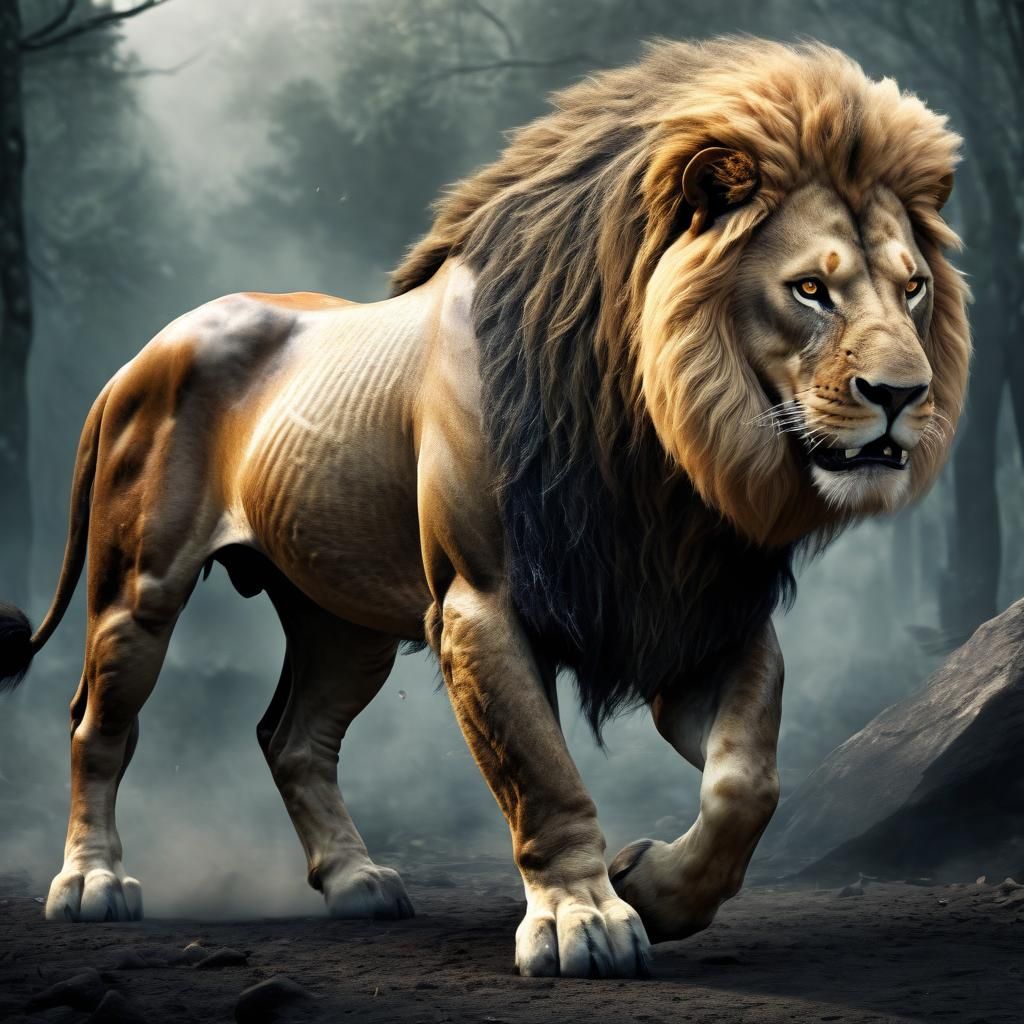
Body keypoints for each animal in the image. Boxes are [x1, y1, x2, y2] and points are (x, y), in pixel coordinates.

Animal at [0, 38, 968, 978]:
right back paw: (90, 883)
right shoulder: (481, 604)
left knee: (292, 736)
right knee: (98, 727)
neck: (658, 452)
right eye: (810, 289)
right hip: (140, 590)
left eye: (913, 287)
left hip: (342, 620)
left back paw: (355, 881)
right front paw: (585, 920)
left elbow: (746, 785)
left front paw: (654, 889)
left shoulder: (702, 613)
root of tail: (142, 353)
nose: (904, 396)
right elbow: (542, 775)